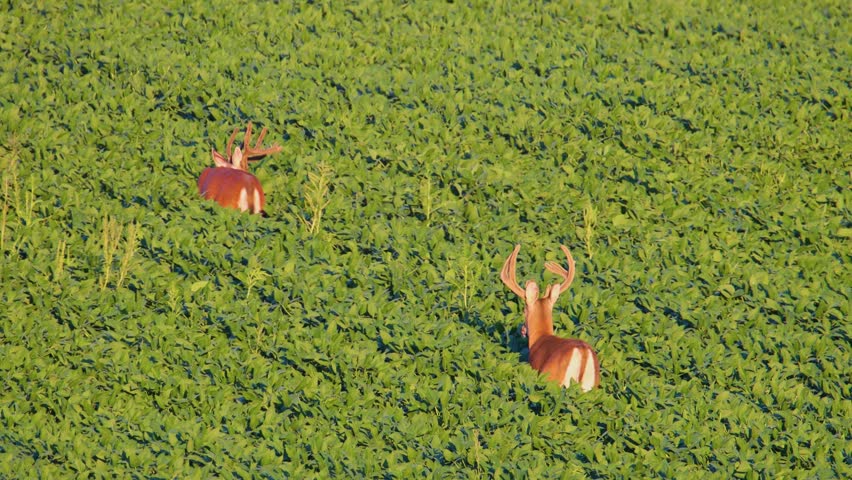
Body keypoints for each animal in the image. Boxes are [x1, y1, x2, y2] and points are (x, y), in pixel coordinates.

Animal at [501, 244, 600, 392]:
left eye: (524, 310)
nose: (522, 330)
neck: (541, 337)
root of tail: (583, 354)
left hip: (554, 380)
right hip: (592, 386)